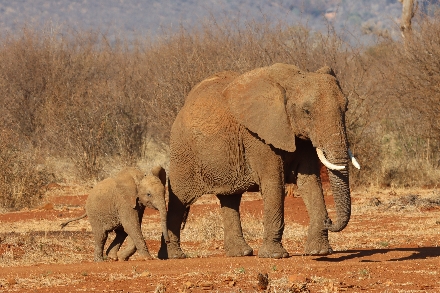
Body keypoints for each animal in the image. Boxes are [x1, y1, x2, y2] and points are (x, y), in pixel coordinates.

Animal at [160, 63, 360, 258]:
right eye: (307, 111)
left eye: (346, 108)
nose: (329, 220)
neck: (292, 79)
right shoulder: (258, 136)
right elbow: (274, 183)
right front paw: (274, 255)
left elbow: (310, 182)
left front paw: (319, 252)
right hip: (183, 152)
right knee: (179, 201)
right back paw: (173, 256)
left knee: (230, 199)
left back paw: (240, 253)